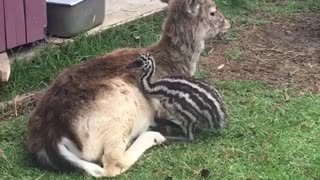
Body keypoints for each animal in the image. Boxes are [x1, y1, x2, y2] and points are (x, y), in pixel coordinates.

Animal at [25, 0, 230, 177]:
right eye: (212, 11)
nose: (228, 23)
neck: (174, 64)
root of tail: (51, 138)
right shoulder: (165, 105)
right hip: (120, 111)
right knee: (112, 163)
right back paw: (155, 136)